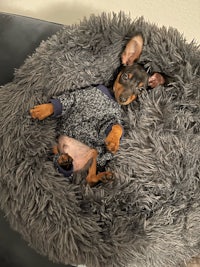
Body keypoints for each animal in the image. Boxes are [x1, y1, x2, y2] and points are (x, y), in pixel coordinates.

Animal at [29, 34, 164, 187]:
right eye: (125, 76)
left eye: (141, 89)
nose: (123, 98)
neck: (111, 97)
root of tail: (76, 166)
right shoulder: (79, 96)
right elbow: (60, 103)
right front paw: (41, 110)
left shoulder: (113, 119)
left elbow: (117, 127)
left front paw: (113, 142)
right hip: (56, 145)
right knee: (57, 157)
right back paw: (63, 159)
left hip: (94, 153)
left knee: (90, 179)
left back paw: (100, 175)